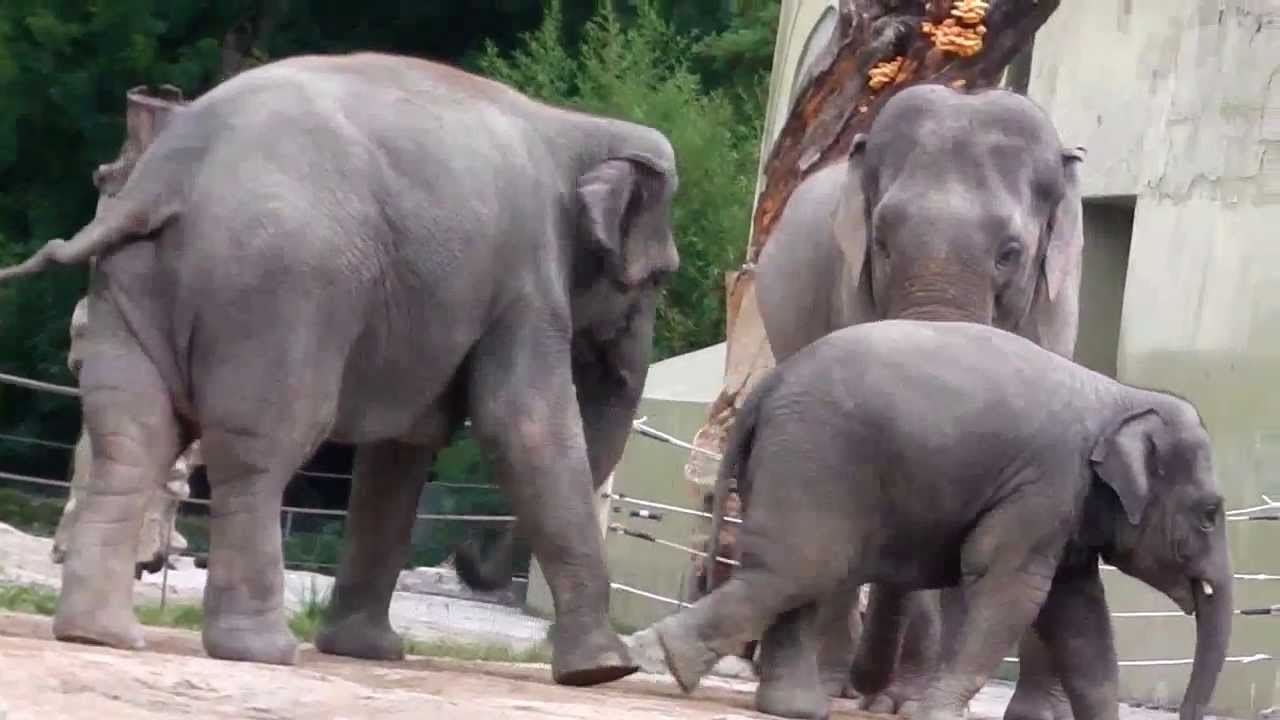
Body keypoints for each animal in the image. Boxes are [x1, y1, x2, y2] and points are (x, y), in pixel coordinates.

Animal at [0, 51, 680, 687]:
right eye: (659, 278)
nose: (464, 553)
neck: (576, 124)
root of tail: (161, 178)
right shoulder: (526, 278)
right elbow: (523, 427)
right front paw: (604, 671)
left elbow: (400, 451)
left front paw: (367, 651)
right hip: (278, 295)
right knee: (258, 453)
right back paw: (261, 650)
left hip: (129, 284)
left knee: (132, 439)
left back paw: (99, 634)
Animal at [653, 319, 1232, 720]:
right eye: (1209, 516)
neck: (1123, 394)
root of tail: (766, 388)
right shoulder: (1044, 487)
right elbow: (1013, 590)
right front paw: (937, 714)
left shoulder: (1066, 511)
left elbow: (1079, 613)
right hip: (814, 457)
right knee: (800, 569)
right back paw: (668, 657)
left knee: (801, 575)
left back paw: (792, 708)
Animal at [749, 82, 1086, 717]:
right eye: (881, 242)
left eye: (1009, 252)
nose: (872, 688)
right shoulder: (849, 290)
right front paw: (893, 698)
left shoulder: (1054, 311)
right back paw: (836, 683)